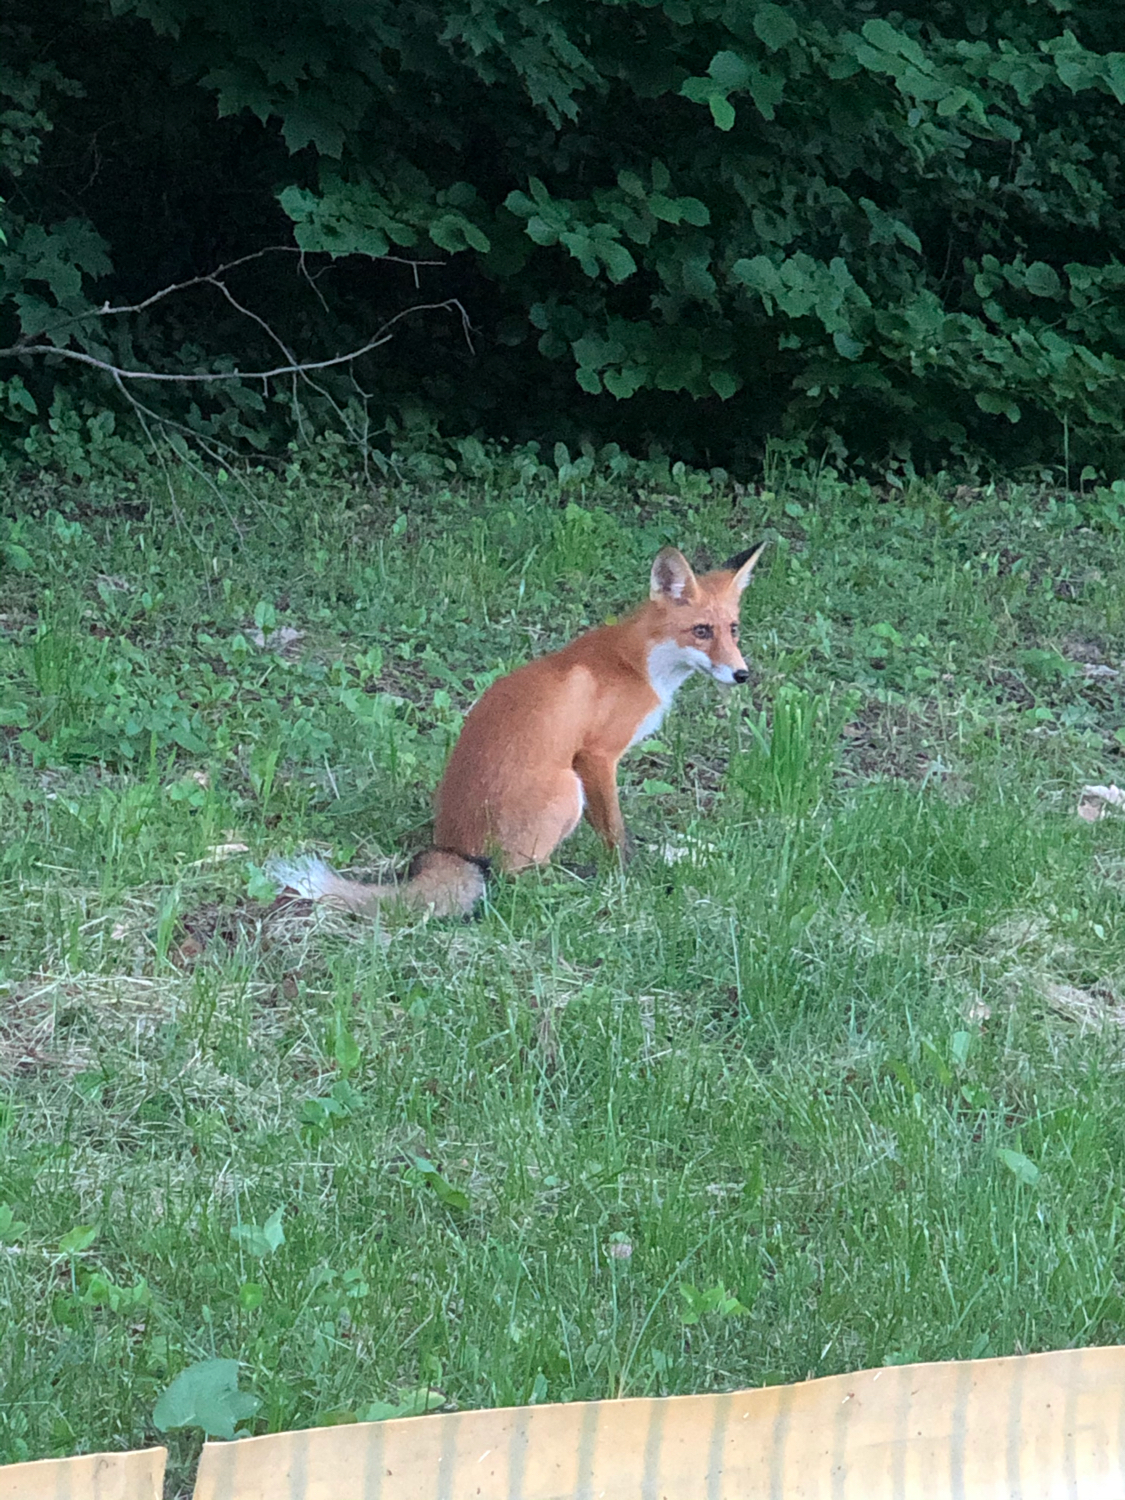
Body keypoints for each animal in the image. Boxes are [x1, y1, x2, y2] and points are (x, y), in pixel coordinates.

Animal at [268, 540, 774, 912]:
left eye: (733, 629)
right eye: (701, 631)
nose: (742, 674)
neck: (641, 665)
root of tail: (454, 849)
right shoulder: (595, 757)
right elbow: (616, 832)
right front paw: (626, 876)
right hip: (567, 789)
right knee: (516, 879)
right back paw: (574, 880)